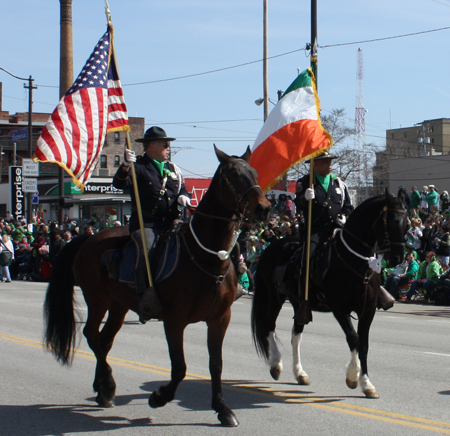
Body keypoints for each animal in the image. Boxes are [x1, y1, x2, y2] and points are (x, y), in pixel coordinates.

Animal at [44, 146, 270, 426]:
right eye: (233, 175)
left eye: (254, 173)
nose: (264, 208)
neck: (204, 256)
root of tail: (87, 239)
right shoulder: (175, 320)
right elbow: (180, 367)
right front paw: (159, 397)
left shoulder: (220, 319)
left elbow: (216, 364)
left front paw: (222, 408)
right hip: (97, 298)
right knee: (91, 334)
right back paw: (107, 385)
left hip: (118, 305)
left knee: (104, 341)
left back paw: (102, 389)